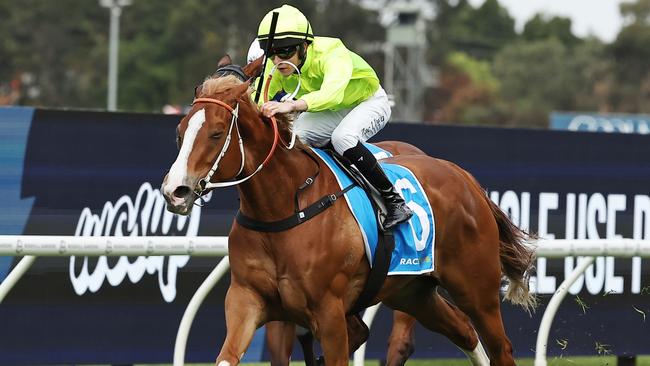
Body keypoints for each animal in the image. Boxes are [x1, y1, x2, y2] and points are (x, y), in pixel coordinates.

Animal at [161, 55, 532, 364]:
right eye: (179, 132)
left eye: (215, 133)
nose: (174, 191)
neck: (283, 210)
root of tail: (466, 178)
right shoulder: (246, 299)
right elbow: (229, 355)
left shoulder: (329, 313)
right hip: (413, 292)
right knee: (464, 332)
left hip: (476, 288)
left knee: (500, 347)